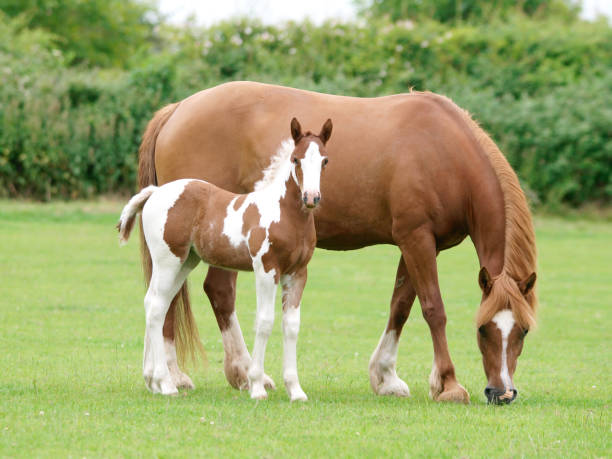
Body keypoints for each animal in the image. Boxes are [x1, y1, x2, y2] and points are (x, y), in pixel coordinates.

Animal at [117, 118, 332, 402]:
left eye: (325, 160)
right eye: (296, 159)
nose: (311, 197)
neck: (282, 214)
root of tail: (155, 192)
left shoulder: (298, 274)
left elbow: (291, 325)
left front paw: (295, 390)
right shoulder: (266, 270)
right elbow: (264, 322)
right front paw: (257, 386)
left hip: (185, 263)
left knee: (154, 303)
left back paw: (154, 382)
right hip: (168, 261)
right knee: (155, 307)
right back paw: (166, 383)